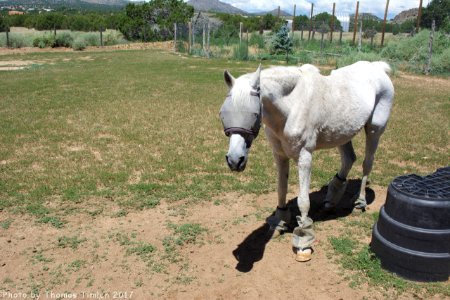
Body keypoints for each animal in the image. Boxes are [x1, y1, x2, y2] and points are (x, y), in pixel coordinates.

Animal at [219, 60, 394, 260]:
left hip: (374, 130)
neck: (292, 104)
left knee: (367, 164)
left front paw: (303, 240)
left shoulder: (304, 157)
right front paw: (280, 221)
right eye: (222, 114)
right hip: (343, 134)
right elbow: (281, 189)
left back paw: (359, 202)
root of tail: (378, 67)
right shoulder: (279, 155)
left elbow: (303, 201)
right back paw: (331, 200)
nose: (235, 160)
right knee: (349, 159)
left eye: (254, 115)